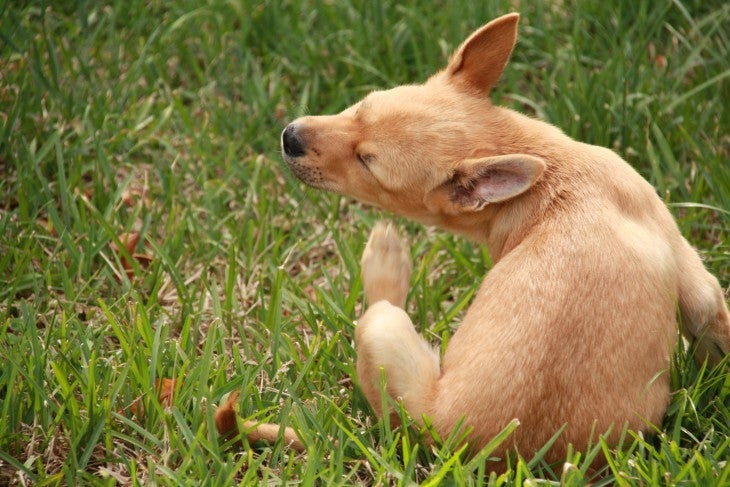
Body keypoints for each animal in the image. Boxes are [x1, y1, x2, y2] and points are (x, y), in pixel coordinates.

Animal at [256, 12, 728, 468]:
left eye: (367, 163)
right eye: (360, 106)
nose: (289, 136)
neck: (549, 174)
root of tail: (460, 446)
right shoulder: (693, 276)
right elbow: (713, 325)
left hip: (383, 333)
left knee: (382, 323)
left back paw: (386, 265)